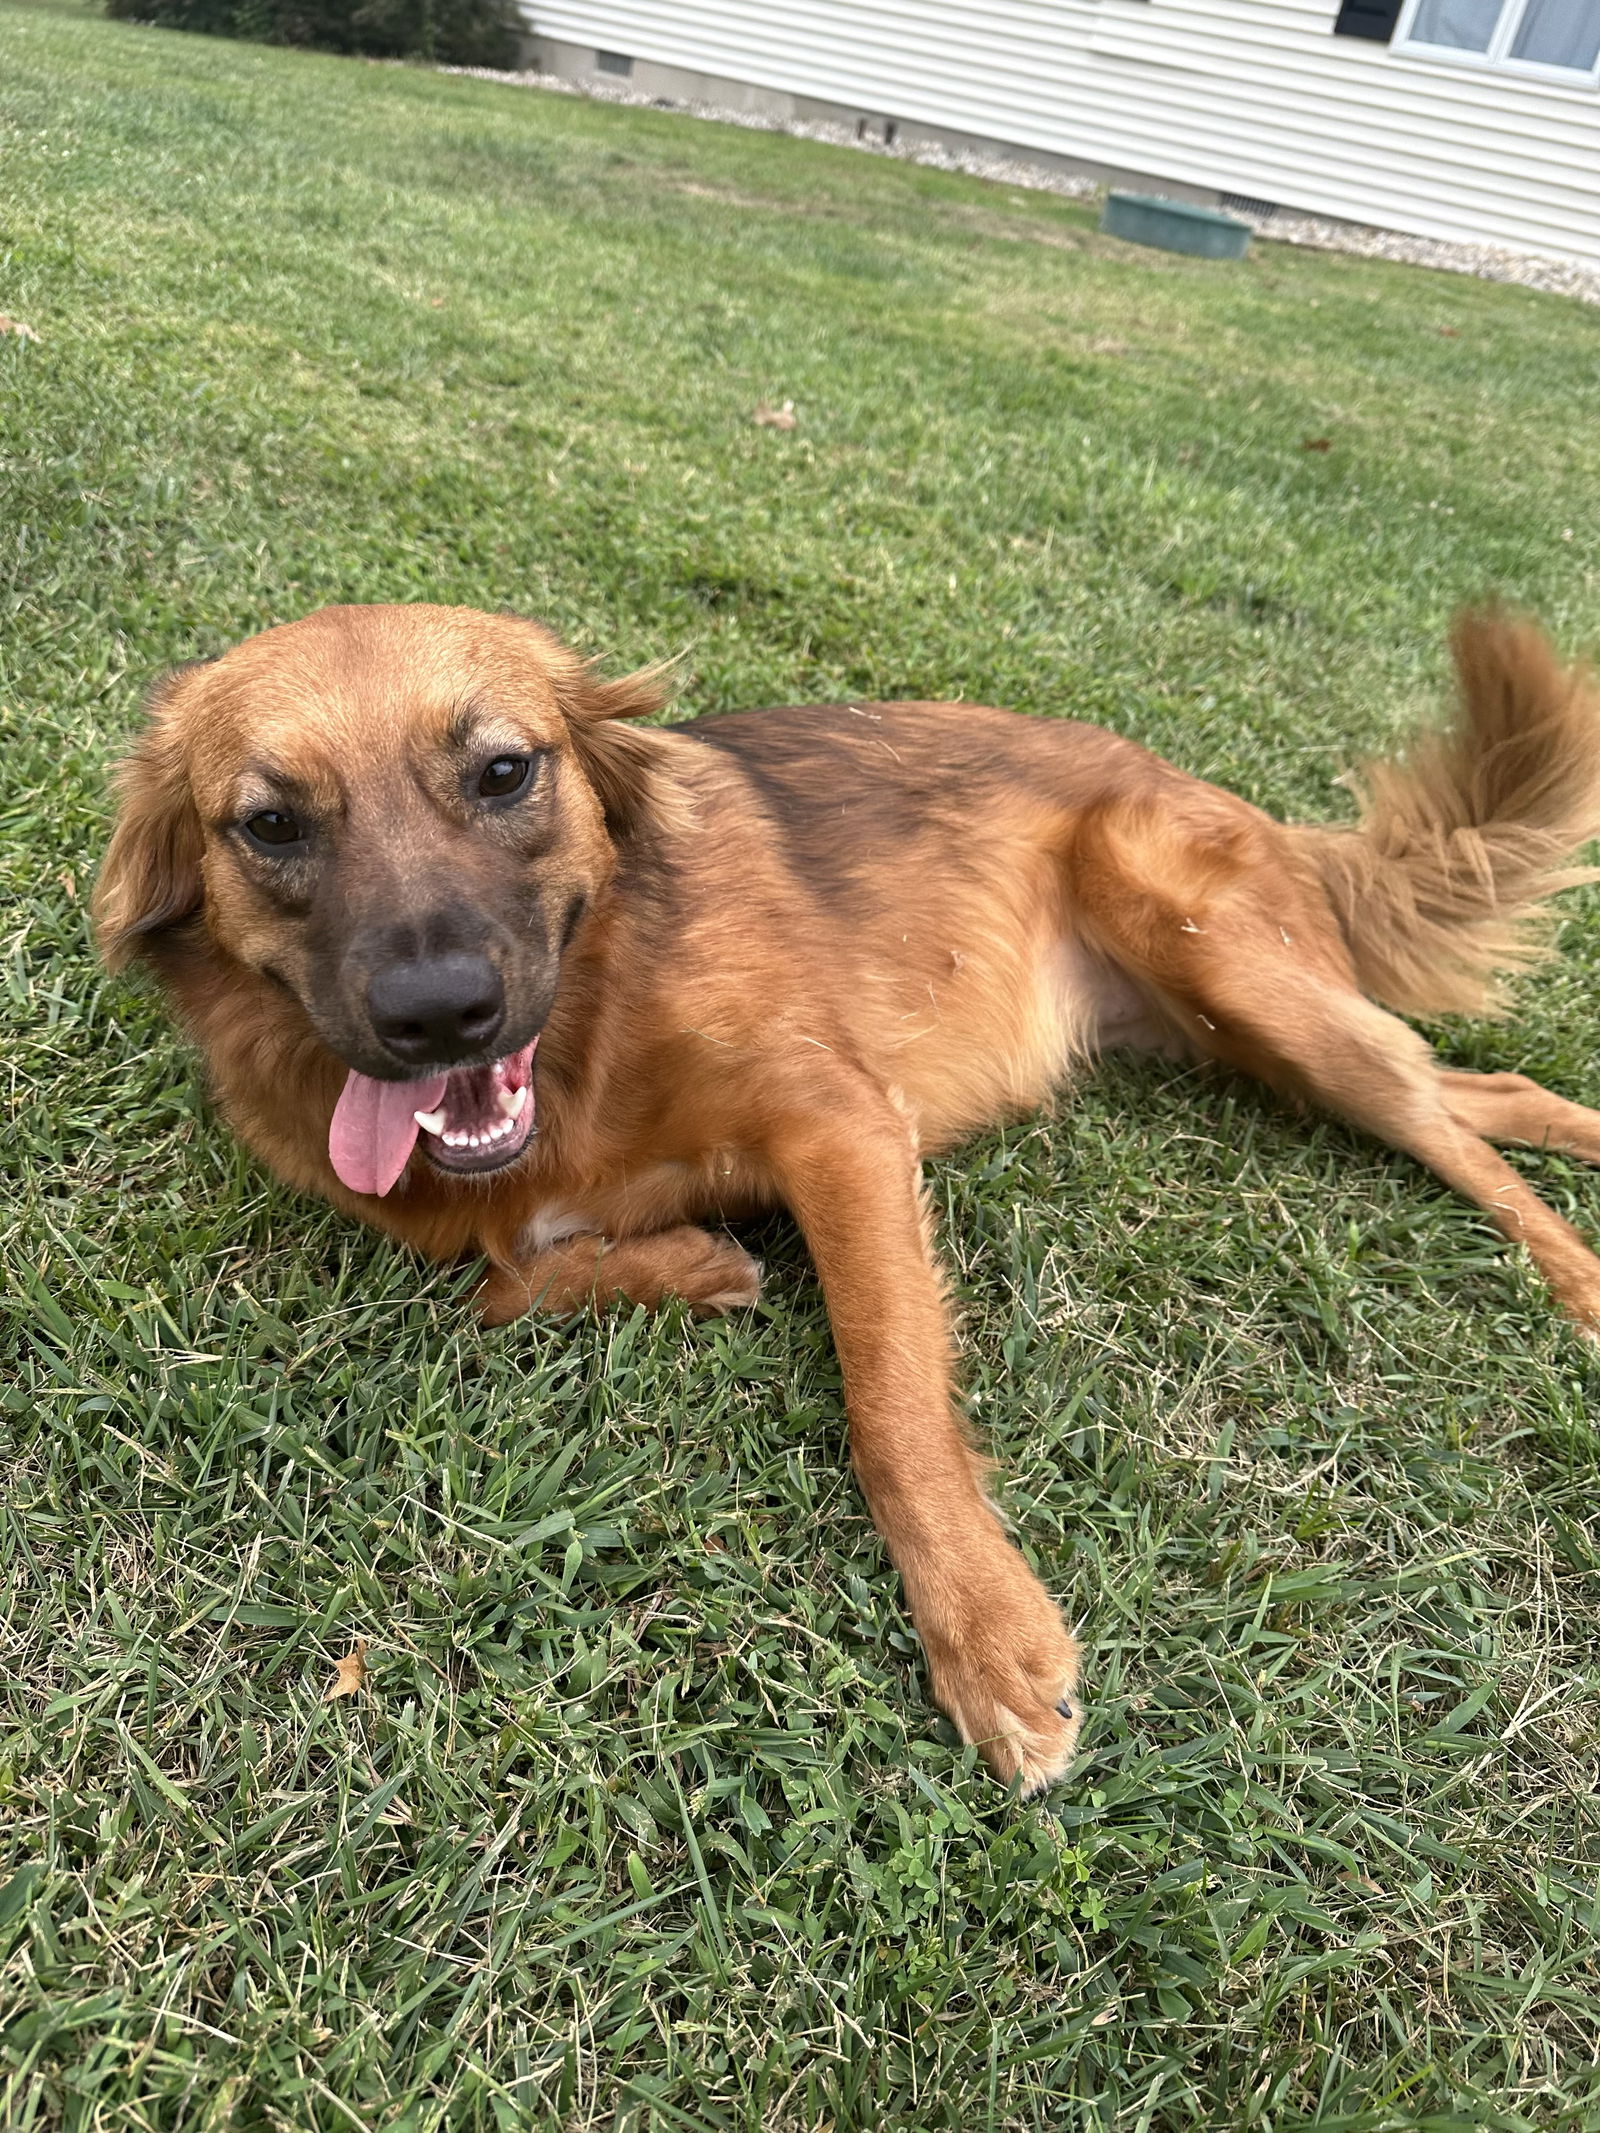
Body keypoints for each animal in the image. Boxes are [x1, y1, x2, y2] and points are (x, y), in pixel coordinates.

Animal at [93, 610, 1600, 1791]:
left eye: (505, 770)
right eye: (270, 824)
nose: (437, 1014)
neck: (592, 1035)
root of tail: (1247, 805)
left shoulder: (845, 1130)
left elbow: (889, 1404)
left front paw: (988, 1638)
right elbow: (497, 1279)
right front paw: (693, 1265)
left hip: (1233, 971)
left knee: (1446, 1124)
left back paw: (1575, 1281)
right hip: (1233, 1031)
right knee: (1485, 1087)